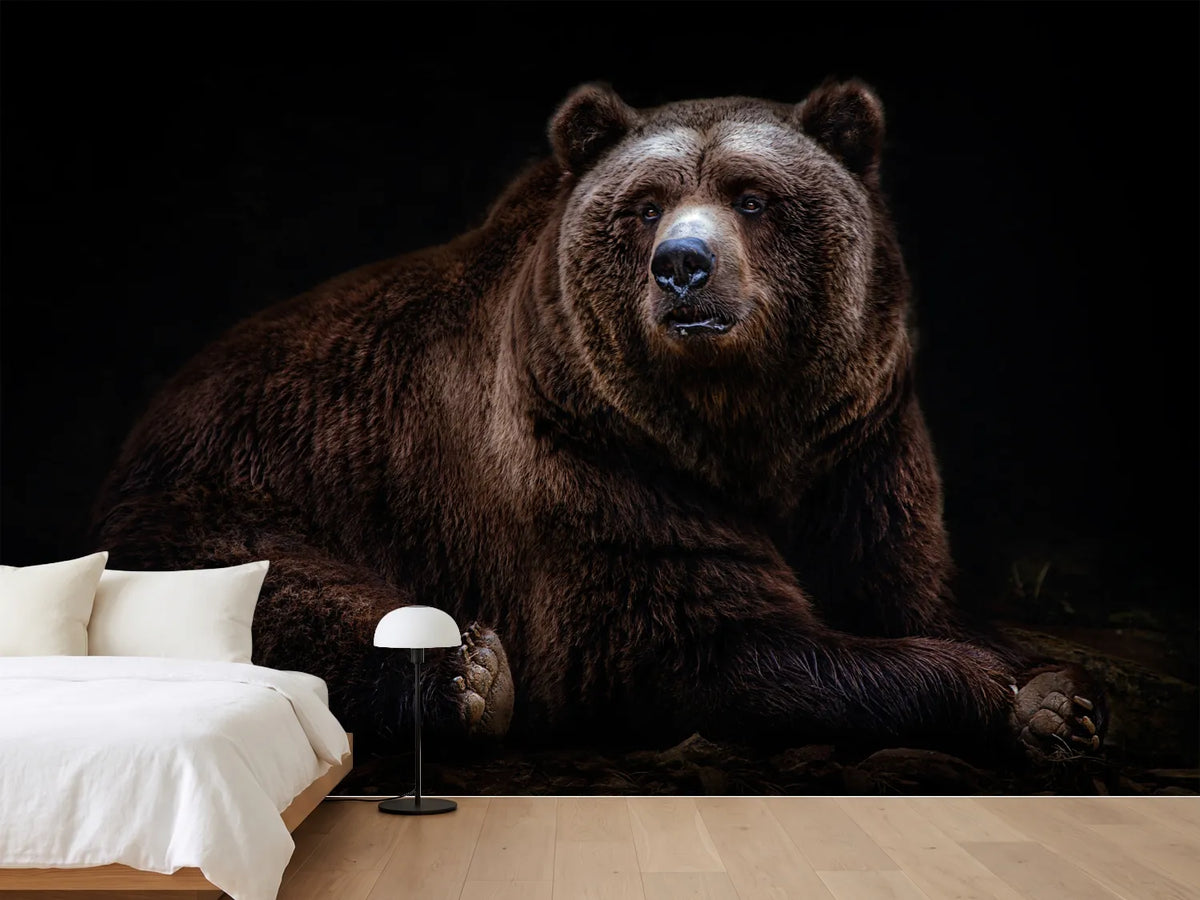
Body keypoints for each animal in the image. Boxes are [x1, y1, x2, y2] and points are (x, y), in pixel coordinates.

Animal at [92, 80, 1104, 765]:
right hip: (227, 496)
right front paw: (1005, 693)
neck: (736, 425)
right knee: (286, 595)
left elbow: (903, 585)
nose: (684, 266)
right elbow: (698, 645)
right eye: (647, 203)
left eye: (753, 196)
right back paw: (466, 678)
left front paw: (1055, 697)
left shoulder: (859, 447)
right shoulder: (591, 455)